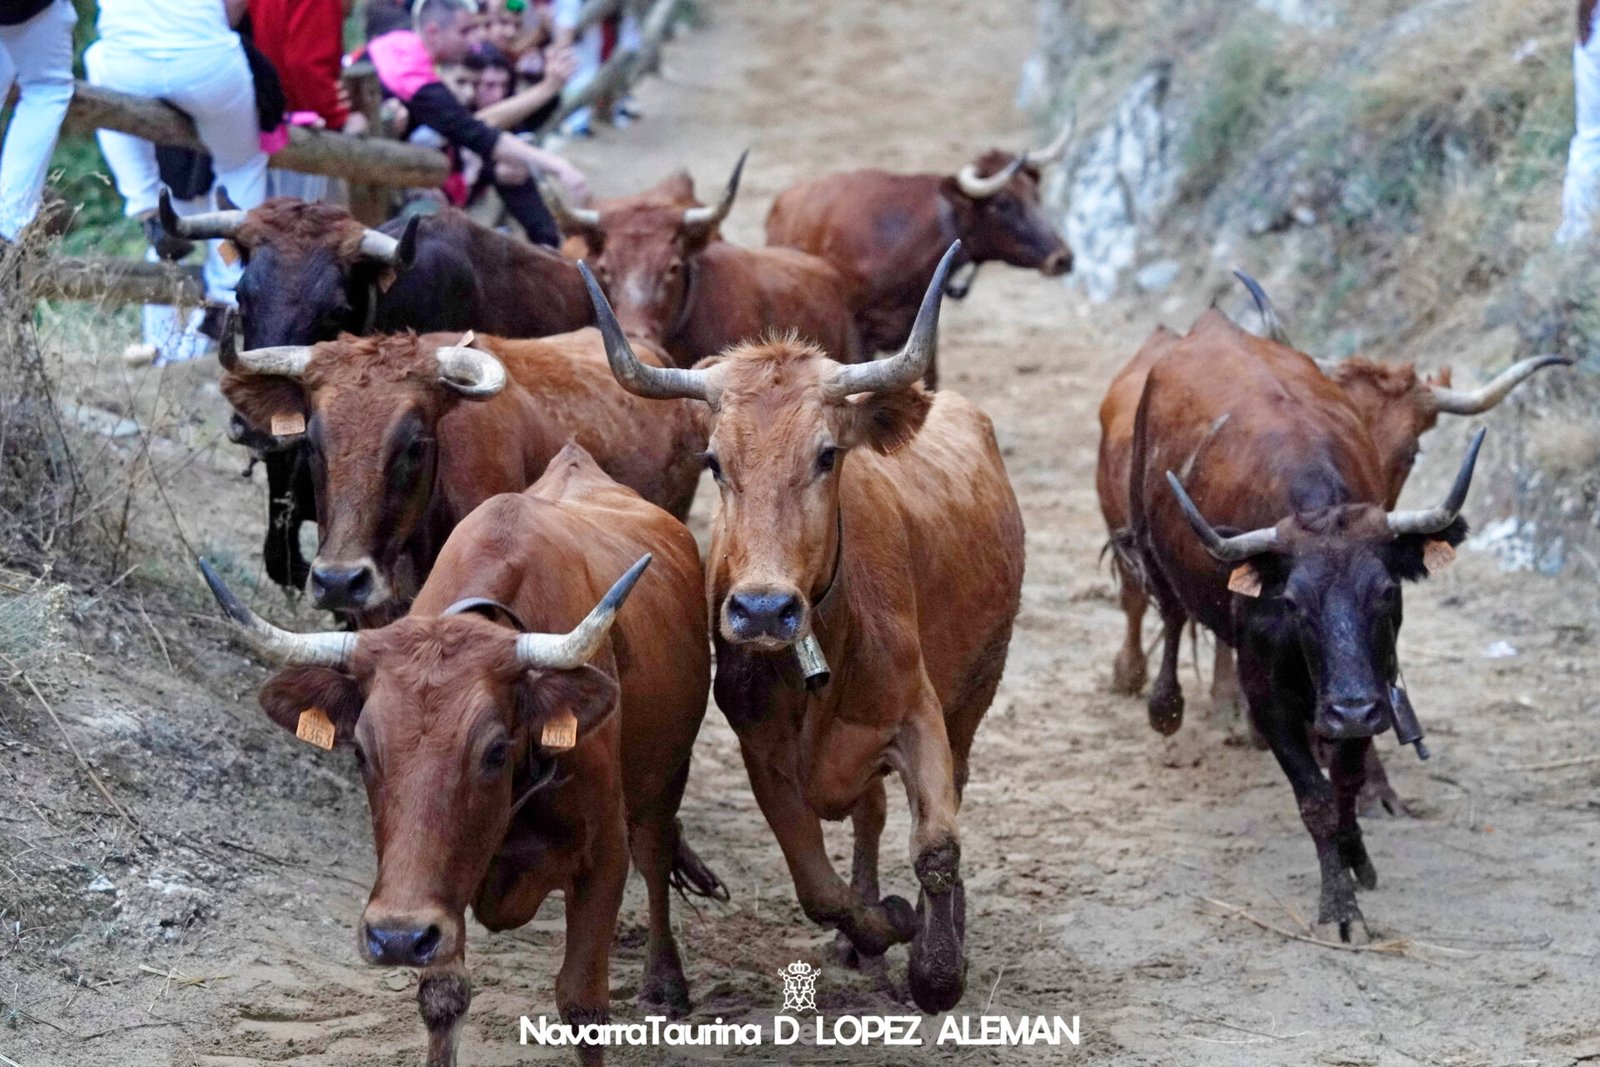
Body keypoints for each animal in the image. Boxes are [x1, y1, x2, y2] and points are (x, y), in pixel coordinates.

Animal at [203, 444, 716, 1067]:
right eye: (362, 753)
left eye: (494, 750)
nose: (396, 937)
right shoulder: (439, 888)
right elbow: (444, 997)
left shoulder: (603, 858)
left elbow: (583, 1003)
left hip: (667, 777)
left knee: (657, 852)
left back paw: (665, 981)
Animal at [585, 246, 1024, 1017]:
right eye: (714, 461)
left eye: (826, 455)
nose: (763, 610)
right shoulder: (764, 755)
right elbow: (818, 887)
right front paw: (882, 922)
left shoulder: (921, 716)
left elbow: (938, 847)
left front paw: (937, 966)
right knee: (869, 815)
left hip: (976, 691)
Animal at [1126, 323, 1484, 934]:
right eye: (1293, 602)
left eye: (1388, 591)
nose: (1351, 711)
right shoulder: (1273, 700)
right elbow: (1315, 798)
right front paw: (1339, 907)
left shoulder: (1369, 688)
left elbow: (1345, 785)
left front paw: (1357, 856)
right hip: (1148, 536)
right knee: (1172, 613)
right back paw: (1165, 705)